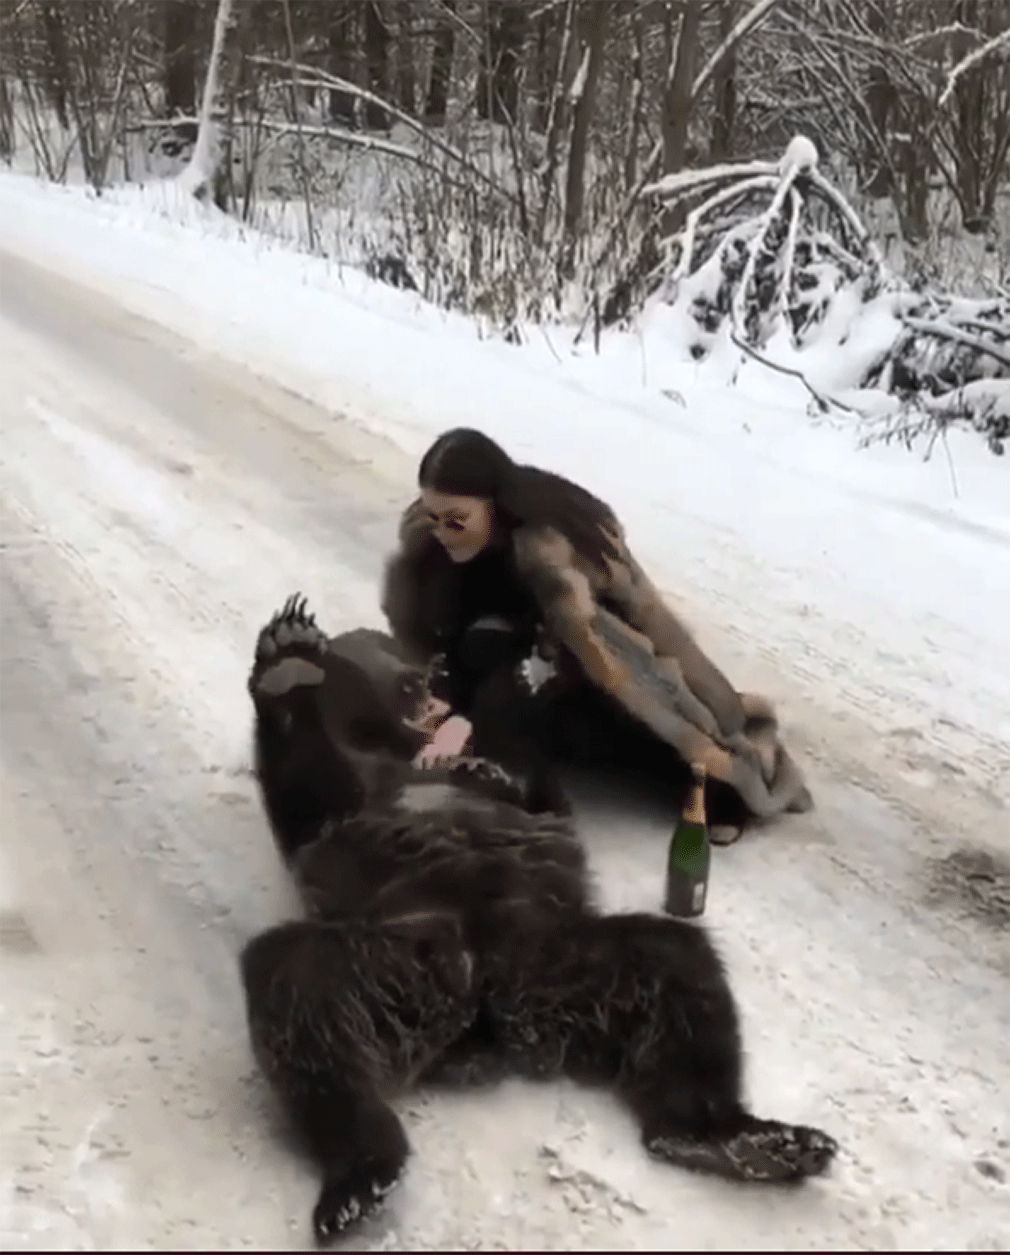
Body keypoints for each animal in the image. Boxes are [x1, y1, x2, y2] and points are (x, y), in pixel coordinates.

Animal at [240, 594, 838, 1244]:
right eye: (408, 678)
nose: (436, 684)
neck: (404, 752)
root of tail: (490, 1019)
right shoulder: (348, 808)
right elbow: (311, 802)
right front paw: (286, 665)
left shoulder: (513, 798)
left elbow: (535, 791)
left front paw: (513, 713)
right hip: (402, 964)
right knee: (300, 985)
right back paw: (358, 1173)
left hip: (565, 958)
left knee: (675, 969)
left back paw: (736, 1138)